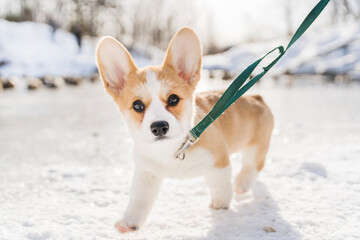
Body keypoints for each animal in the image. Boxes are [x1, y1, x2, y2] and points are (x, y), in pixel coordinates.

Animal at [95, 27, 272, 232]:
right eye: (137, 105)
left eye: (173, 99)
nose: (159, 127)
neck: (171, 150)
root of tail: (257, 97)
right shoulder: (146, 173)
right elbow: (139, 200)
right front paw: (128, 222)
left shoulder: (219, 161)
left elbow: (220, 187)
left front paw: (220, 206)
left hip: (257, 146)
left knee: (253, 165)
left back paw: (242, 184)